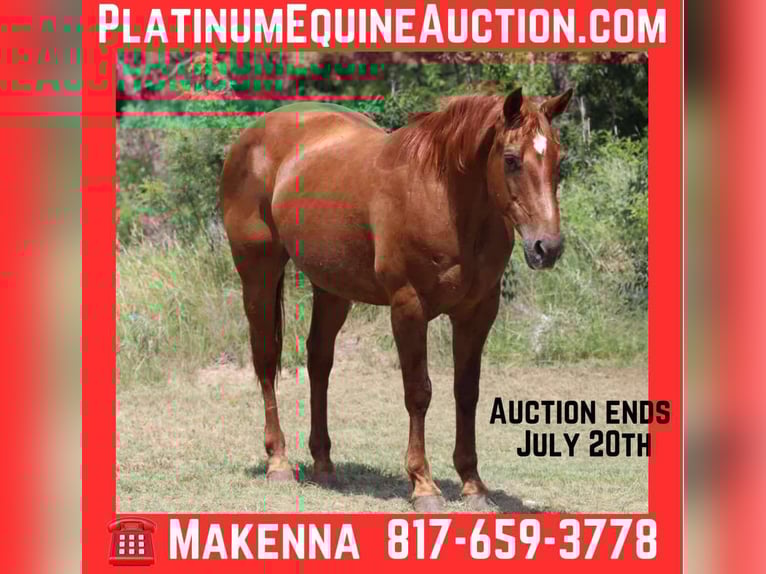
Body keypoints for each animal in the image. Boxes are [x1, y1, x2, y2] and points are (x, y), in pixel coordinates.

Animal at [219, 86, 573, 512]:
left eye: (558, 159)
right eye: (511, 160)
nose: (547, 247)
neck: (444, 198)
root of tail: (253, 135)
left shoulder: (477, 313)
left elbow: (466, 392)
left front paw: (473, 485)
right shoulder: (409, 308)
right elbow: (419, 392)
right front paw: (424, 485)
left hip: (332, 288)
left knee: (319, 361)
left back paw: (324, 463)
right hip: (258, 271)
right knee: (267, 360)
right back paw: (279, 462)